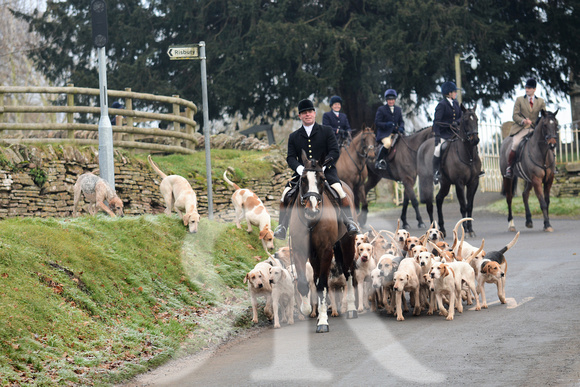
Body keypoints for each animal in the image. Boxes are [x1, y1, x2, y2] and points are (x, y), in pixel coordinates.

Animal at [290, 150, 358, 332]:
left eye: (322, 179)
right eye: (303, 179)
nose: (312, 209)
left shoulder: (326, 251)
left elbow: (322, 285)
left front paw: (322, 322)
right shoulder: (300, 250)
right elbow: (304, 283)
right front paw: (308, 310)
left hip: (347, 244)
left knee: (349, 273)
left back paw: (351, 309)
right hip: (315, 257)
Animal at [416, 107, 480, 239]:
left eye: (477, 119)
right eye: (466, 120)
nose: (475, 139)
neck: (469, 156)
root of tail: (423, 145)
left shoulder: (474, 182)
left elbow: (469, 206)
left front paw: (470, 230)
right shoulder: (459, 183)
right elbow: (463, 206)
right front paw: (465, 229)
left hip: (445, 183)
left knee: (439, 199)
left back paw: (442, 229)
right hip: (427, 182)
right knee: (430, 204)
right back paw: (432, 230)